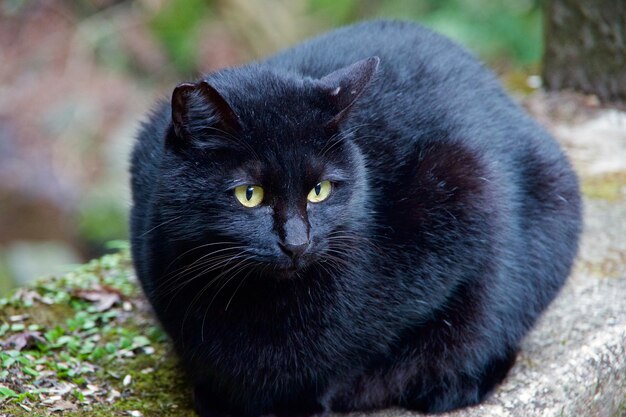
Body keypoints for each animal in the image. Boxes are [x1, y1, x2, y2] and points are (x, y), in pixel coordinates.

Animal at [130, 19, 580, 416]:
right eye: (249, 194)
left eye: (320, 190)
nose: (297, 242)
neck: (256, 301)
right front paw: (218, 395)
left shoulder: (465, 189)